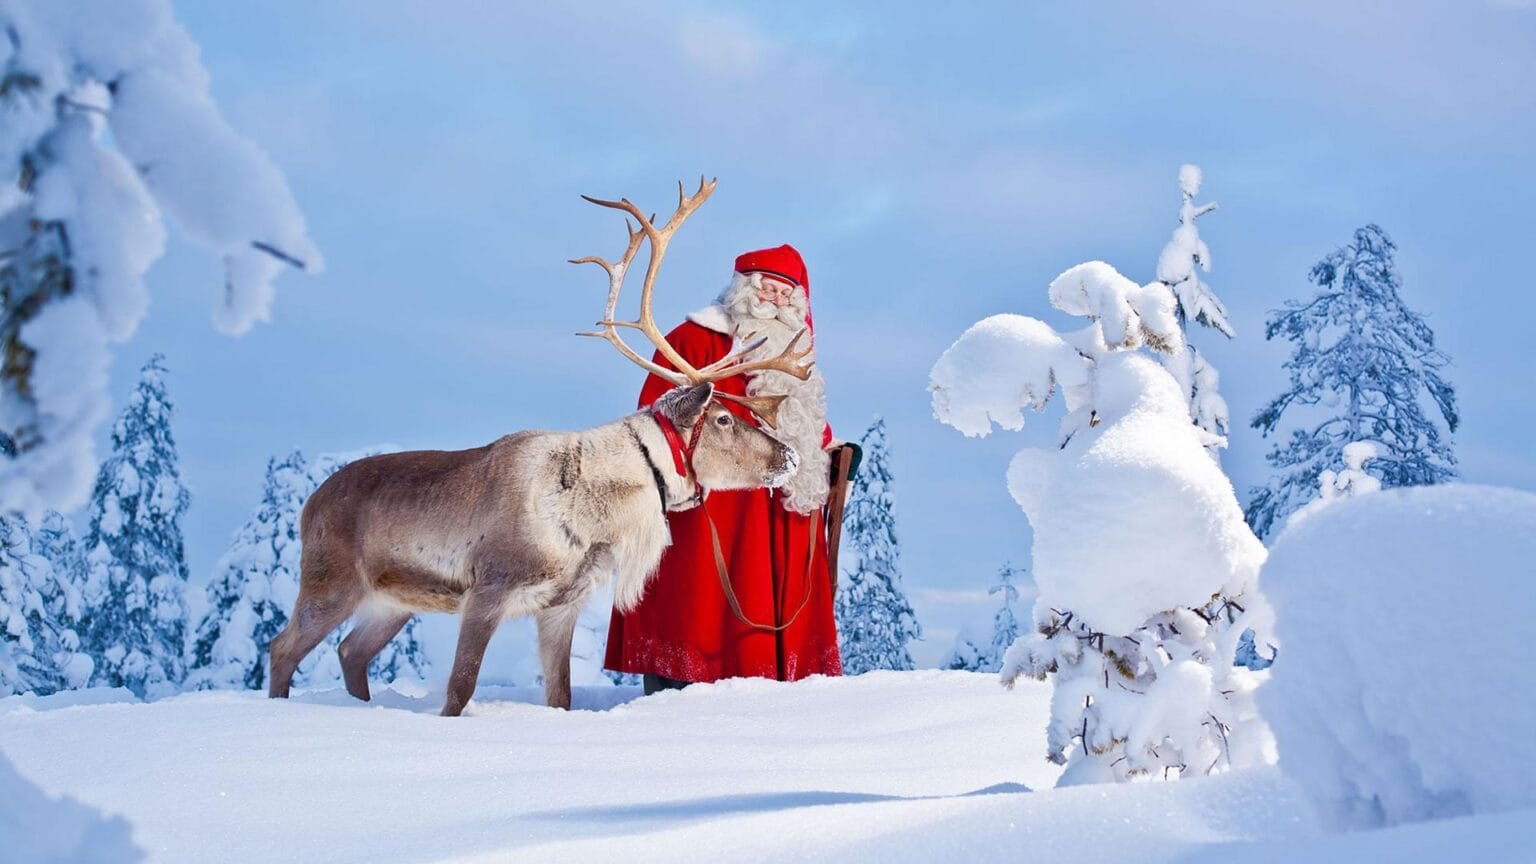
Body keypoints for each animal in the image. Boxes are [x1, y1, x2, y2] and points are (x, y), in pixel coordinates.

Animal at [267, 178, 816, 716]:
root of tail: (308, 504)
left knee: (349, 651)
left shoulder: (562, 604)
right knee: (283, 647)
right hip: (332, 581)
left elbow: (561, 696)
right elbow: (460, 688)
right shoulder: (489, 589)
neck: (592, 512)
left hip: (392, 603)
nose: (788, 456)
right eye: (723, 418)